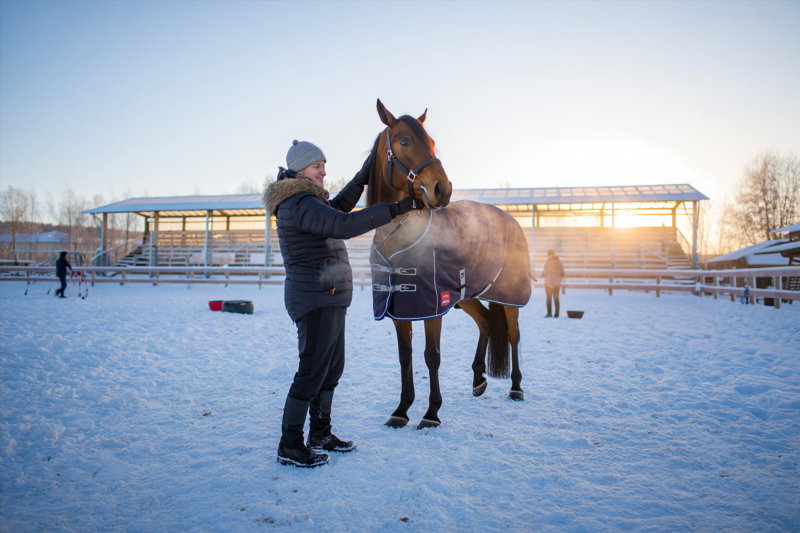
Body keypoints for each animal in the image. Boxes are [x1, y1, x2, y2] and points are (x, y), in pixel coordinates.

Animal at [366, 99, 531, 430]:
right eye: (405, 141)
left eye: (431, 142)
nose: (443, 189)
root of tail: (510, 219)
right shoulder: (401, 309)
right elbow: (405, 356)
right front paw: (401, 410)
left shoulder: (432, 307)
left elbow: (432, 355)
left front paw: (431, 413)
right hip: (467, 295)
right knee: (485, 321)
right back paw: (478, 379)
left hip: (509, 295)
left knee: (513, 333)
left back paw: (516, 386)